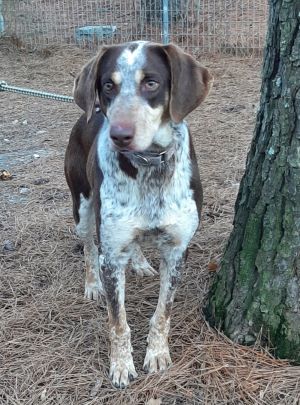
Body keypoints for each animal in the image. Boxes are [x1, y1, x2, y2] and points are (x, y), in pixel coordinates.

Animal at [64, 40, 212, 386]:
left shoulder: (177, 250)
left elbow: (163, 314)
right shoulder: (111, 254)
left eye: (151, 83)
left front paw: (157, 354)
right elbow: (118, 323)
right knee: (88, 248)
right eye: (108, 85)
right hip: (83, 209)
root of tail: (87, 114)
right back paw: (92, 284)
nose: (119, 135)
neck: (149, 166)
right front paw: (121, 365)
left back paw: (141, 262)